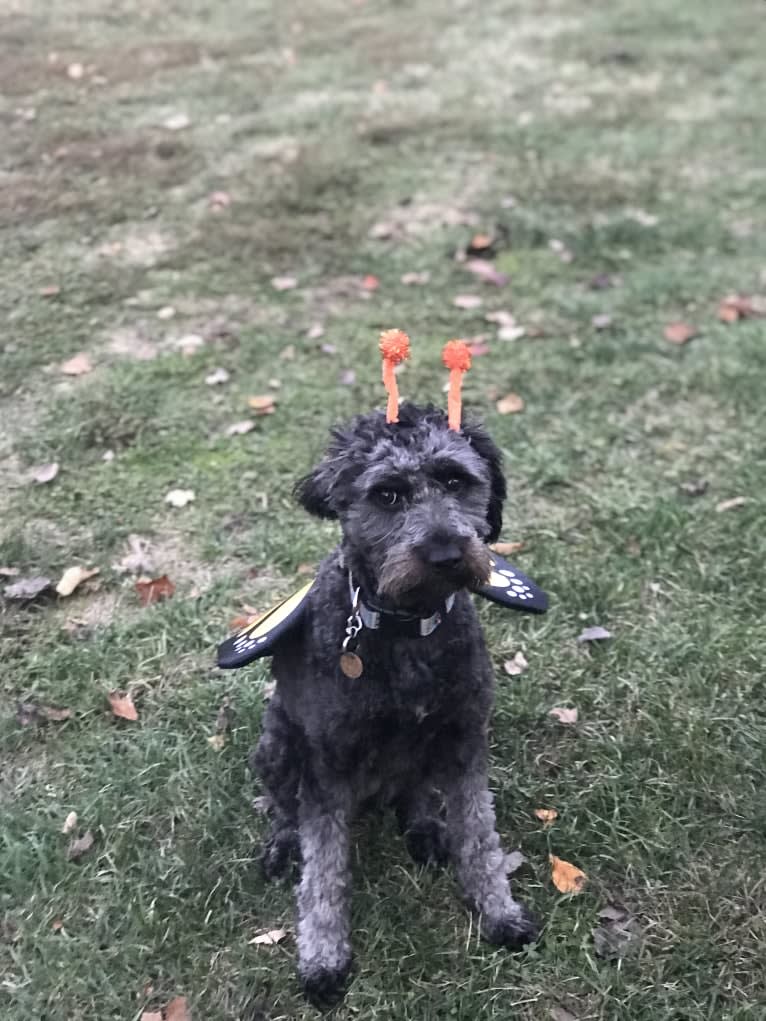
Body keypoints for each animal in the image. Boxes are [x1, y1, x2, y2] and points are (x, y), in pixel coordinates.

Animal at [250, 400, 539, 1004]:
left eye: (455, 480)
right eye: (386, 494)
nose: (447, 554)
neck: (407, 628)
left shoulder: (464, 738)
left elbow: (479, 834)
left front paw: (498, 912)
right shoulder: (328, 766)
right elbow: (324, 868)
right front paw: (323, 957)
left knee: (416, 792)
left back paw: (425, 827)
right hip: (277, 742)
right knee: (284, 807)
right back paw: (283, 843)